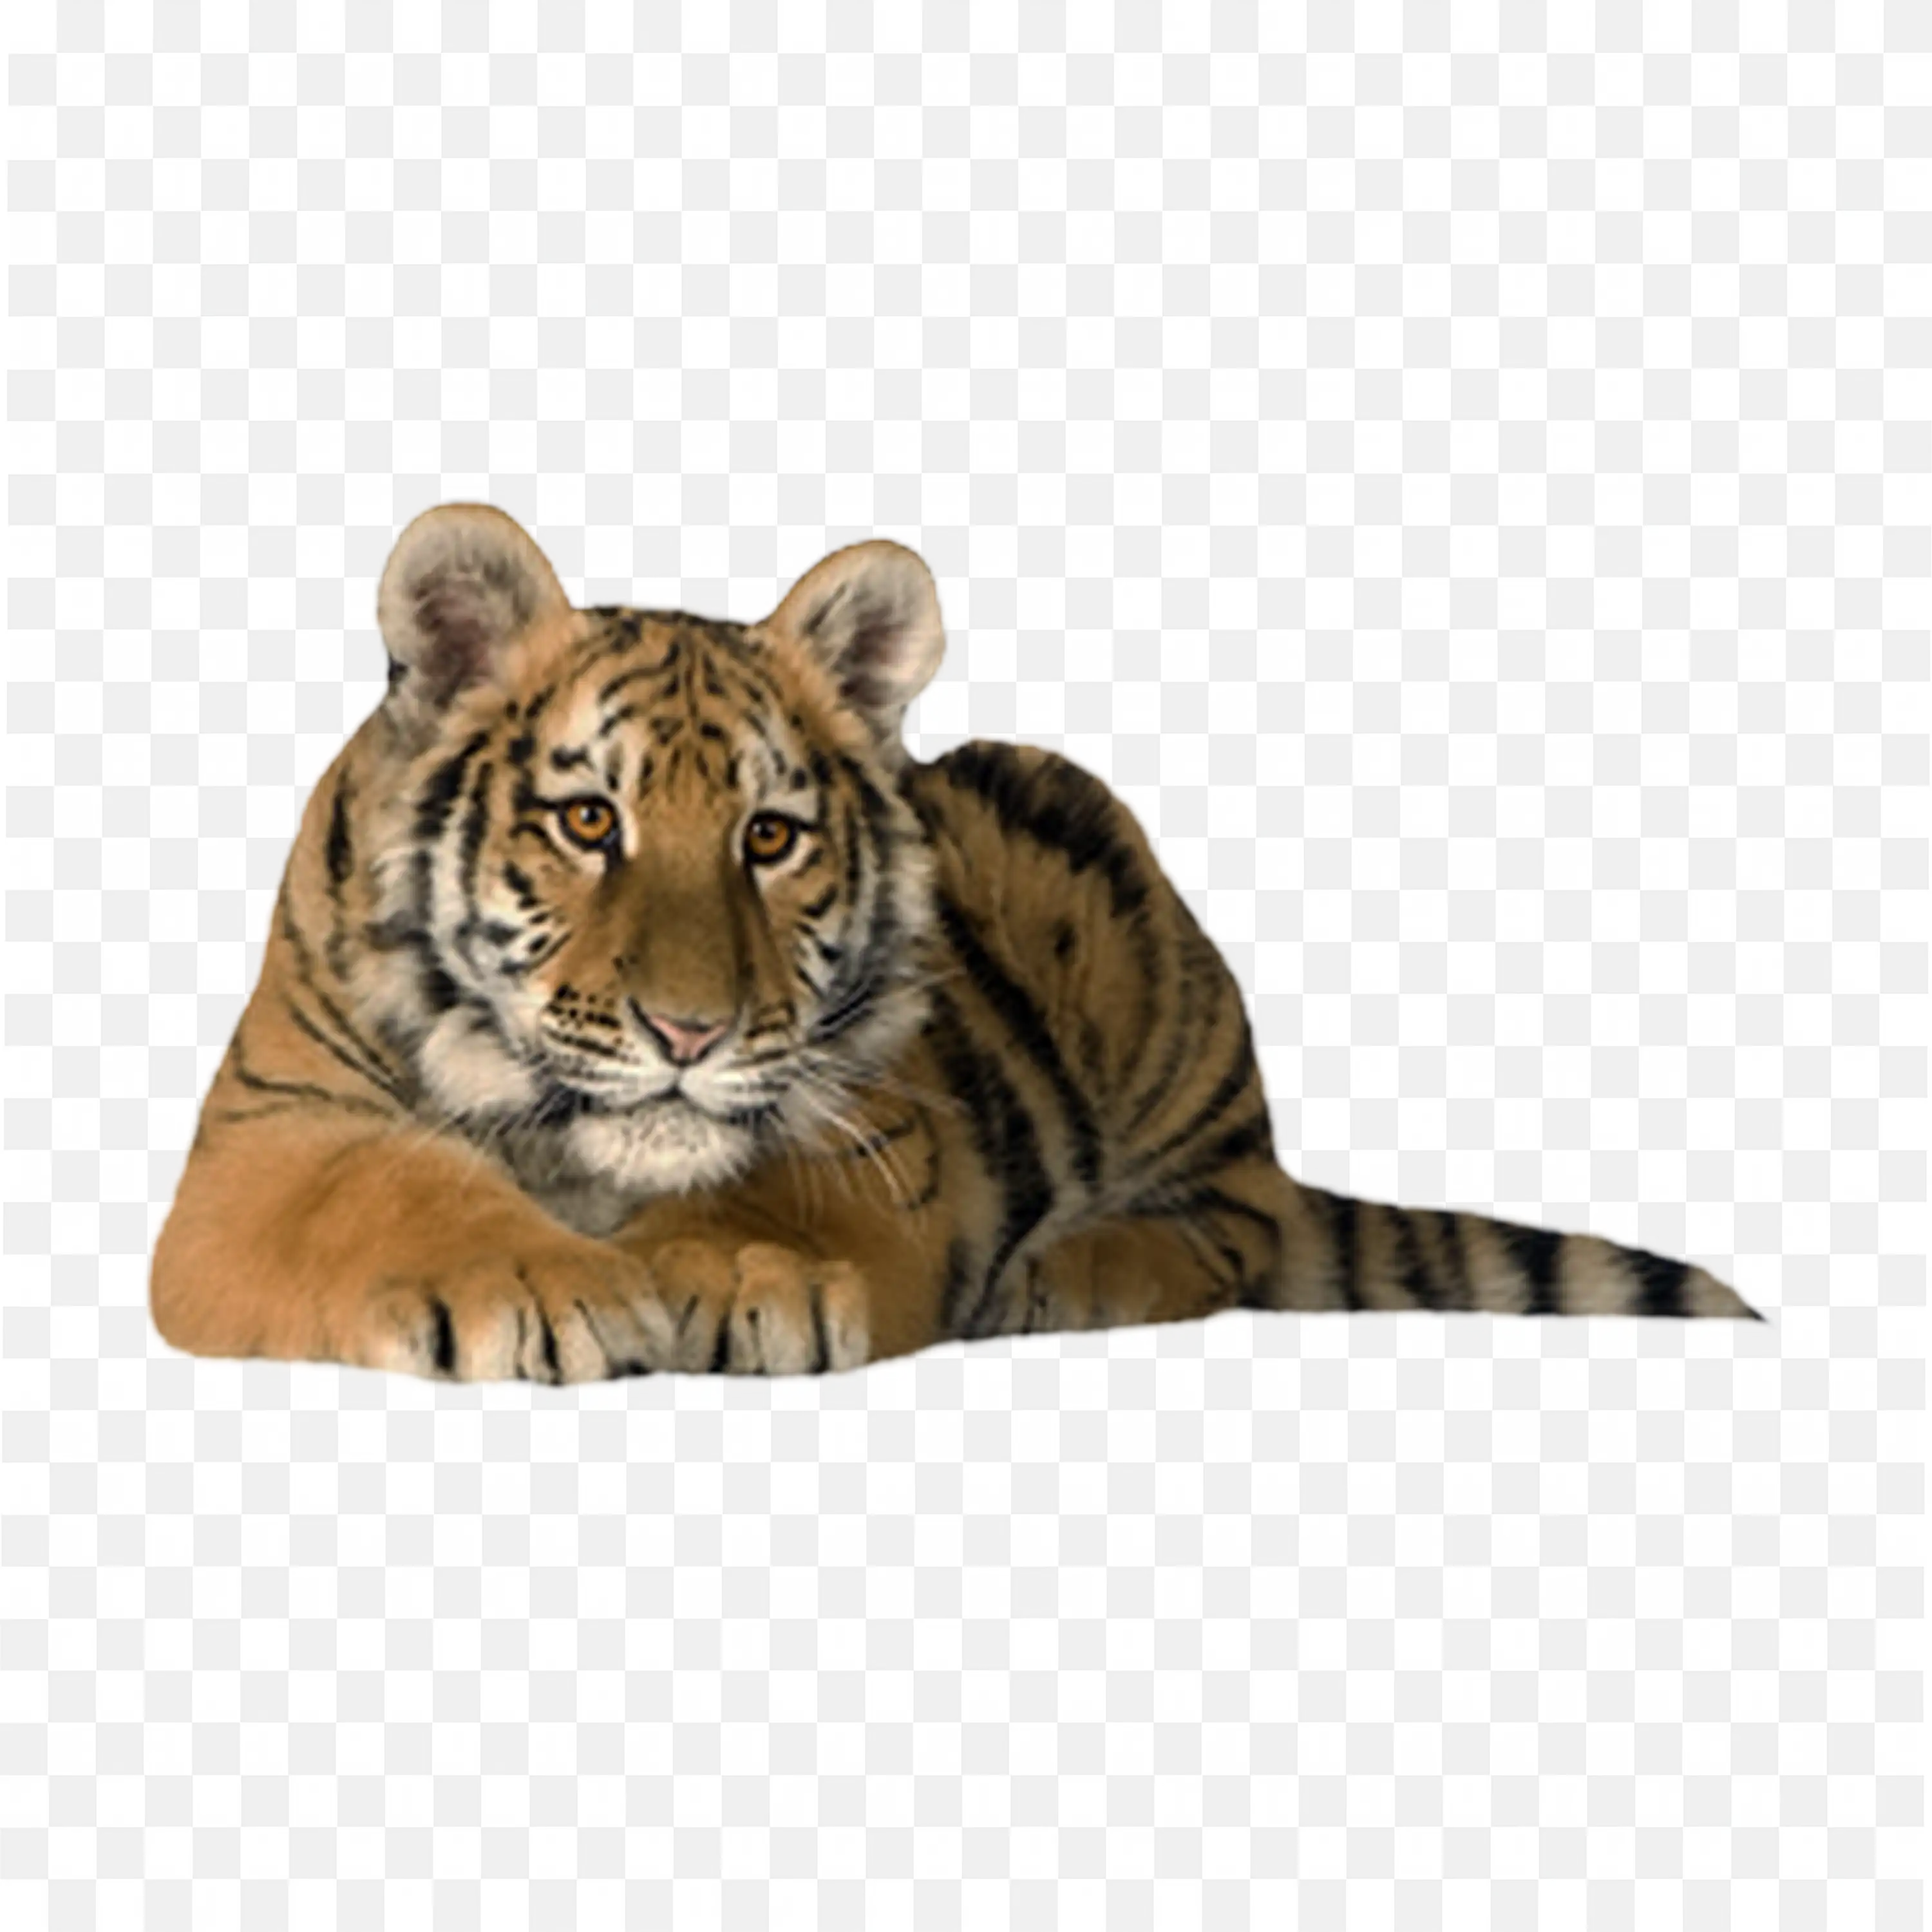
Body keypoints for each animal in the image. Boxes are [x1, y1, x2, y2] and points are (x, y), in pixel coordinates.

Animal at [146, 501, 1764, 1381]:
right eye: (589, 820)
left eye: (769, 838)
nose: (689, 1034)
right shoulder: (267, 1137)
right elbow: (388, 1190)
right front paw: (540, 1288)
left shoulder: (885, 1125)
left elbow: (774, 1189)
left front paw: (734, 1275)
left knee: (1239, 1217)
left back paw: (1075, 1273)